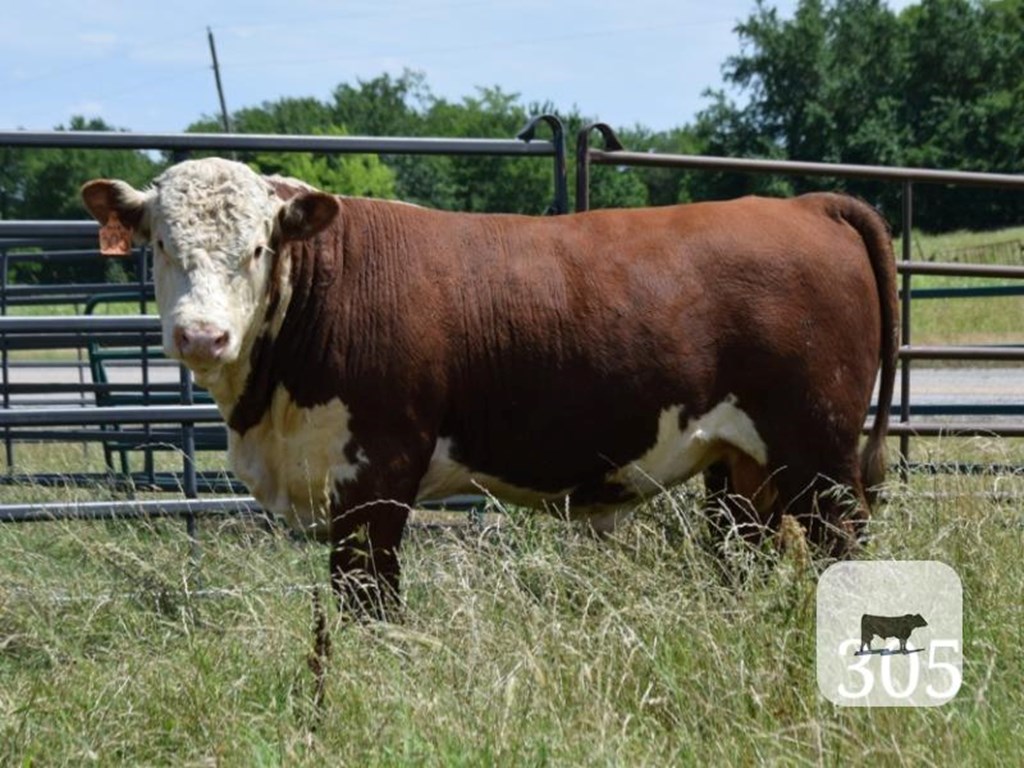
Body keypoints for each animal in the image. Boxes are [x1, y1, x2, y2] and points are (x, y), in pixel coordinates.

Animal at [79, 159, 897, 622]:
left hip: (817, 448)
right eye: (160, 245)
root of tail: (805, 204)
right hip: (743, 464)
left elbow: (368, 598)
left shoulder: (377, 473)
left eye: (257, 247)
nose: (201, 336)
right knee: (749, 545)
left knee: (842, 539)